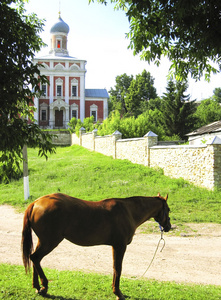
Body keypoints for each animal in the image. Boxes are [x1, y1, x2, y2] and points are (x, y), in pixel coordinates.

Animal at [21, 193, 171, 298]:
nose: (169, 227)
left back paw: (37, 287)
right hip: (50, 242)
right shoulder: (120, 246)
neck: (128, 211)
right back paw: (44, 286)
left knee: (35, 259)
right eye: (168, 210)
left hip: (43, 241)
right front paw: (118, 293)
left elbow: (114, 268)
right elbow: (118, 268)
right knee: (35, 258)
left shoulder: (115, 246)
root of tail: (35, 203)